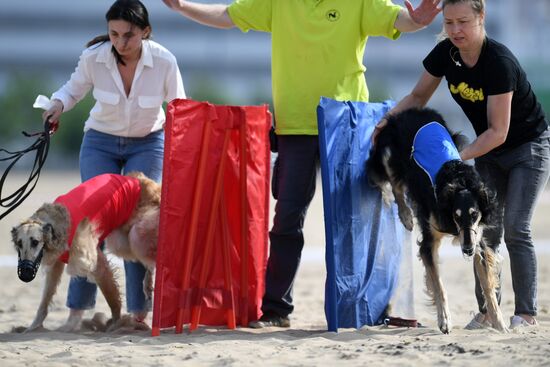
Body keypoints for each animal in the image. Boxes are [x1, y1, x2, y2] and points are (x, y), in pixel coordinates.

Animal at [11, 172, 161, 334]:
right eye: (19, 244)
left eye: (35, 242)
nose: (25, 273)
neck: (57, 226)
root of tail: (142, 180)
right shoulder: (56, 265)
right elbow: (45, 301)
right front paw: (33, 327)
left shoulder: (97, 263)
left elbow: (113, 299)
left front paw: (116, 324)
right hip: (121, 241)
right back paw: (148, 285)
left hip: (135, 235)